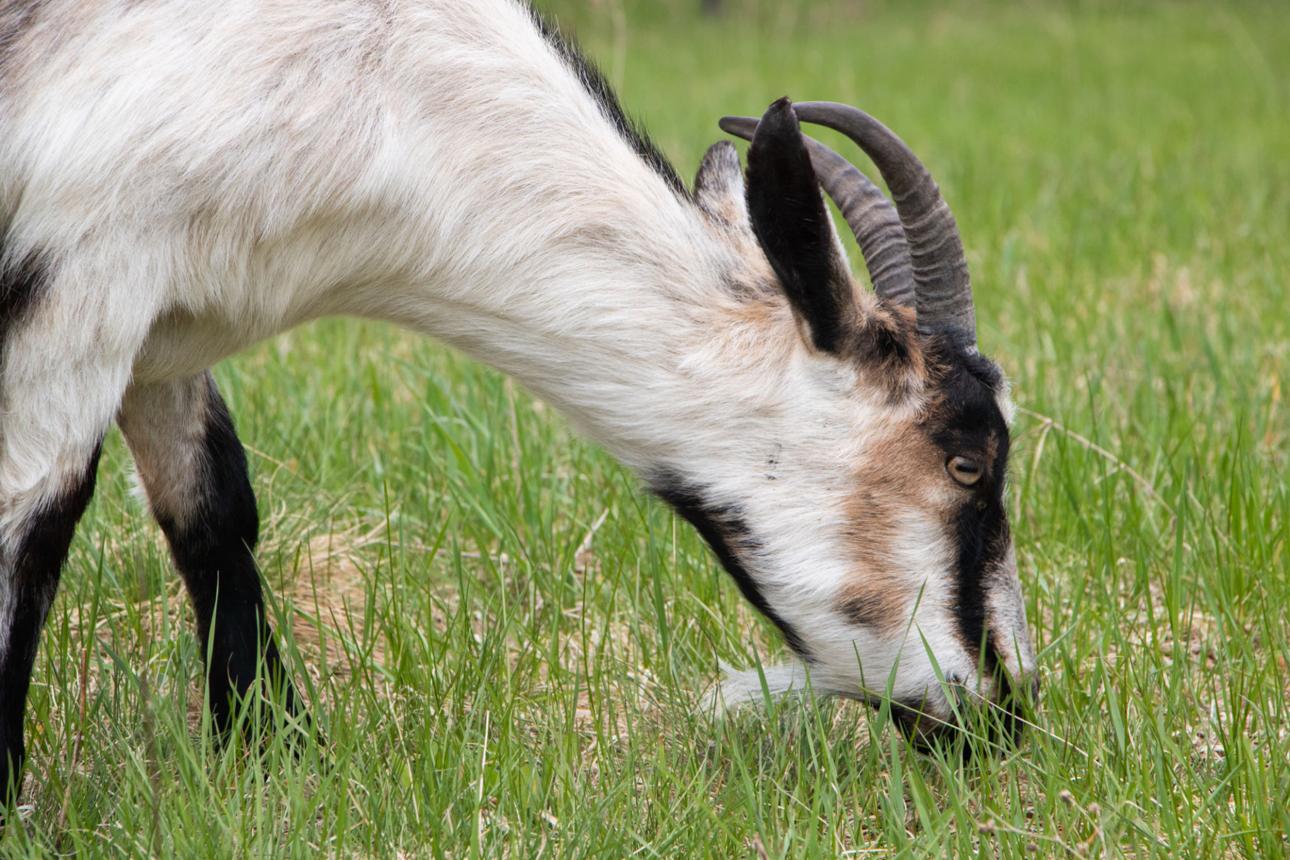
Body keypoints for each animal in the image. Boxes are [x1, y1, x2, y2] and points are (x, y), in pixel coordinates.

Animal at [0, 0, 1038, 802]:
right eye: (966, 460)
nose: (1007, 712)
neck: (367, 77)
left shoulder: (161, 321)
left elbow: (213, 509)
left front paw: (276, 756)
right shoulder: (84, 269)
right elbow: (35, 518)